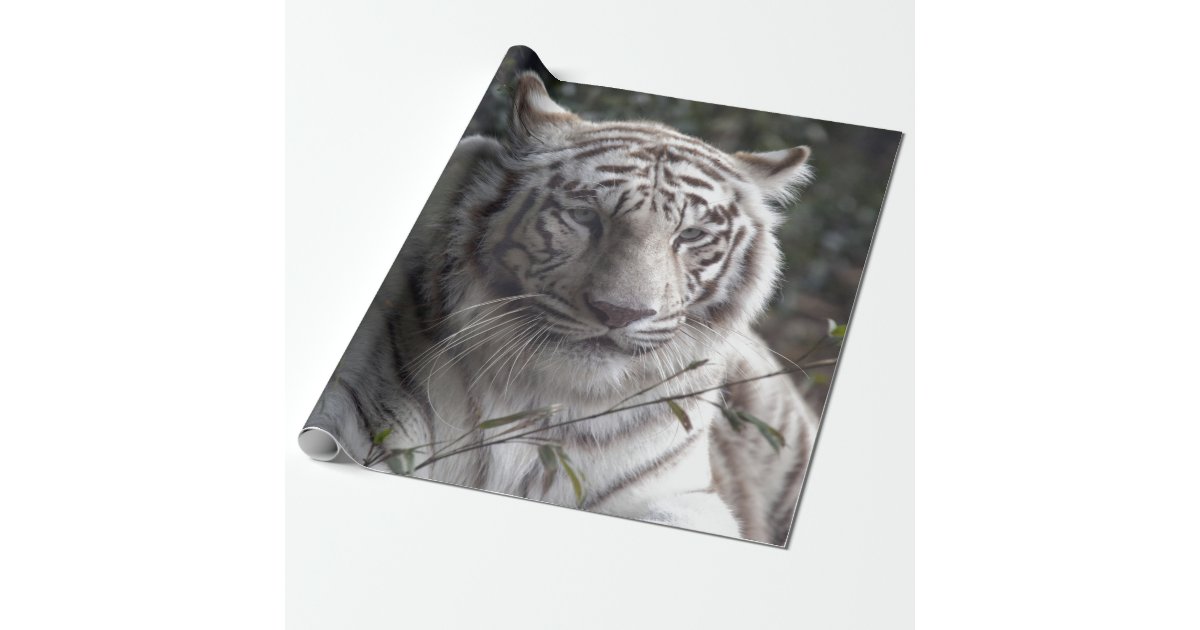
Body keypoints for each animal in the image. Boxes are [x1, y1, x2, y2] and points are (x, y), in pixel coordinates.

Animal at [302, 71, 821, 545]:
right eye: (585, 216)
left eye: (690, 235)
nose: (619, 313)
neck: (545, 397)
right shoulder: (360, 418)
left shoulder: (676, 495)